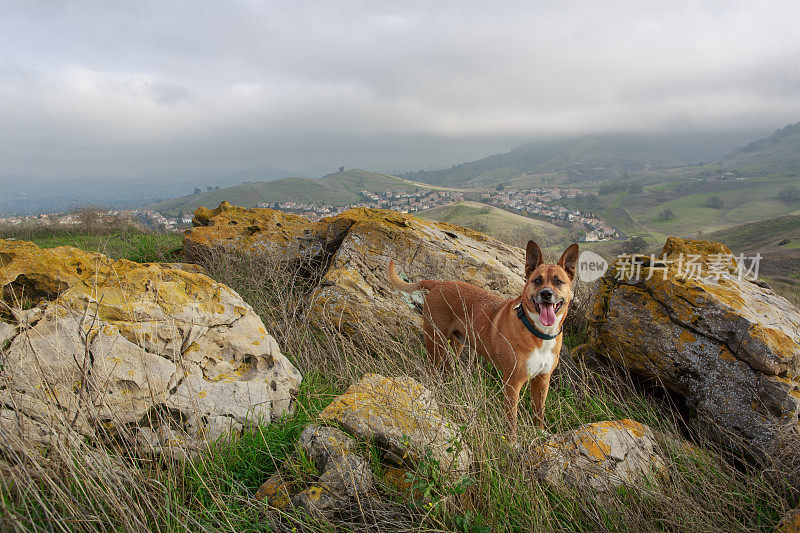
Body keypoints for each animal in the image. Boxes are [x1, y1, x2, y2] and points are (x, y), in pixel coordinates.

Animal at [386, 241, 580, 432]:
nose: (546, 294)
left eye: (558, 281)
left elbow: (539, 414)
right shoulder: (513, 384)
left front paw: (538, 434)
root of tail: (438, 283)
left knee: (446, 369)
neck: (538, 333)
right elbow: (512, 421)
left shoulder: (542, 382)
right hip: (436, 342)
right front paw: (513, 439)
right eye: (537, 280)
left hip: (455, 345)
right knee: (431, 369)